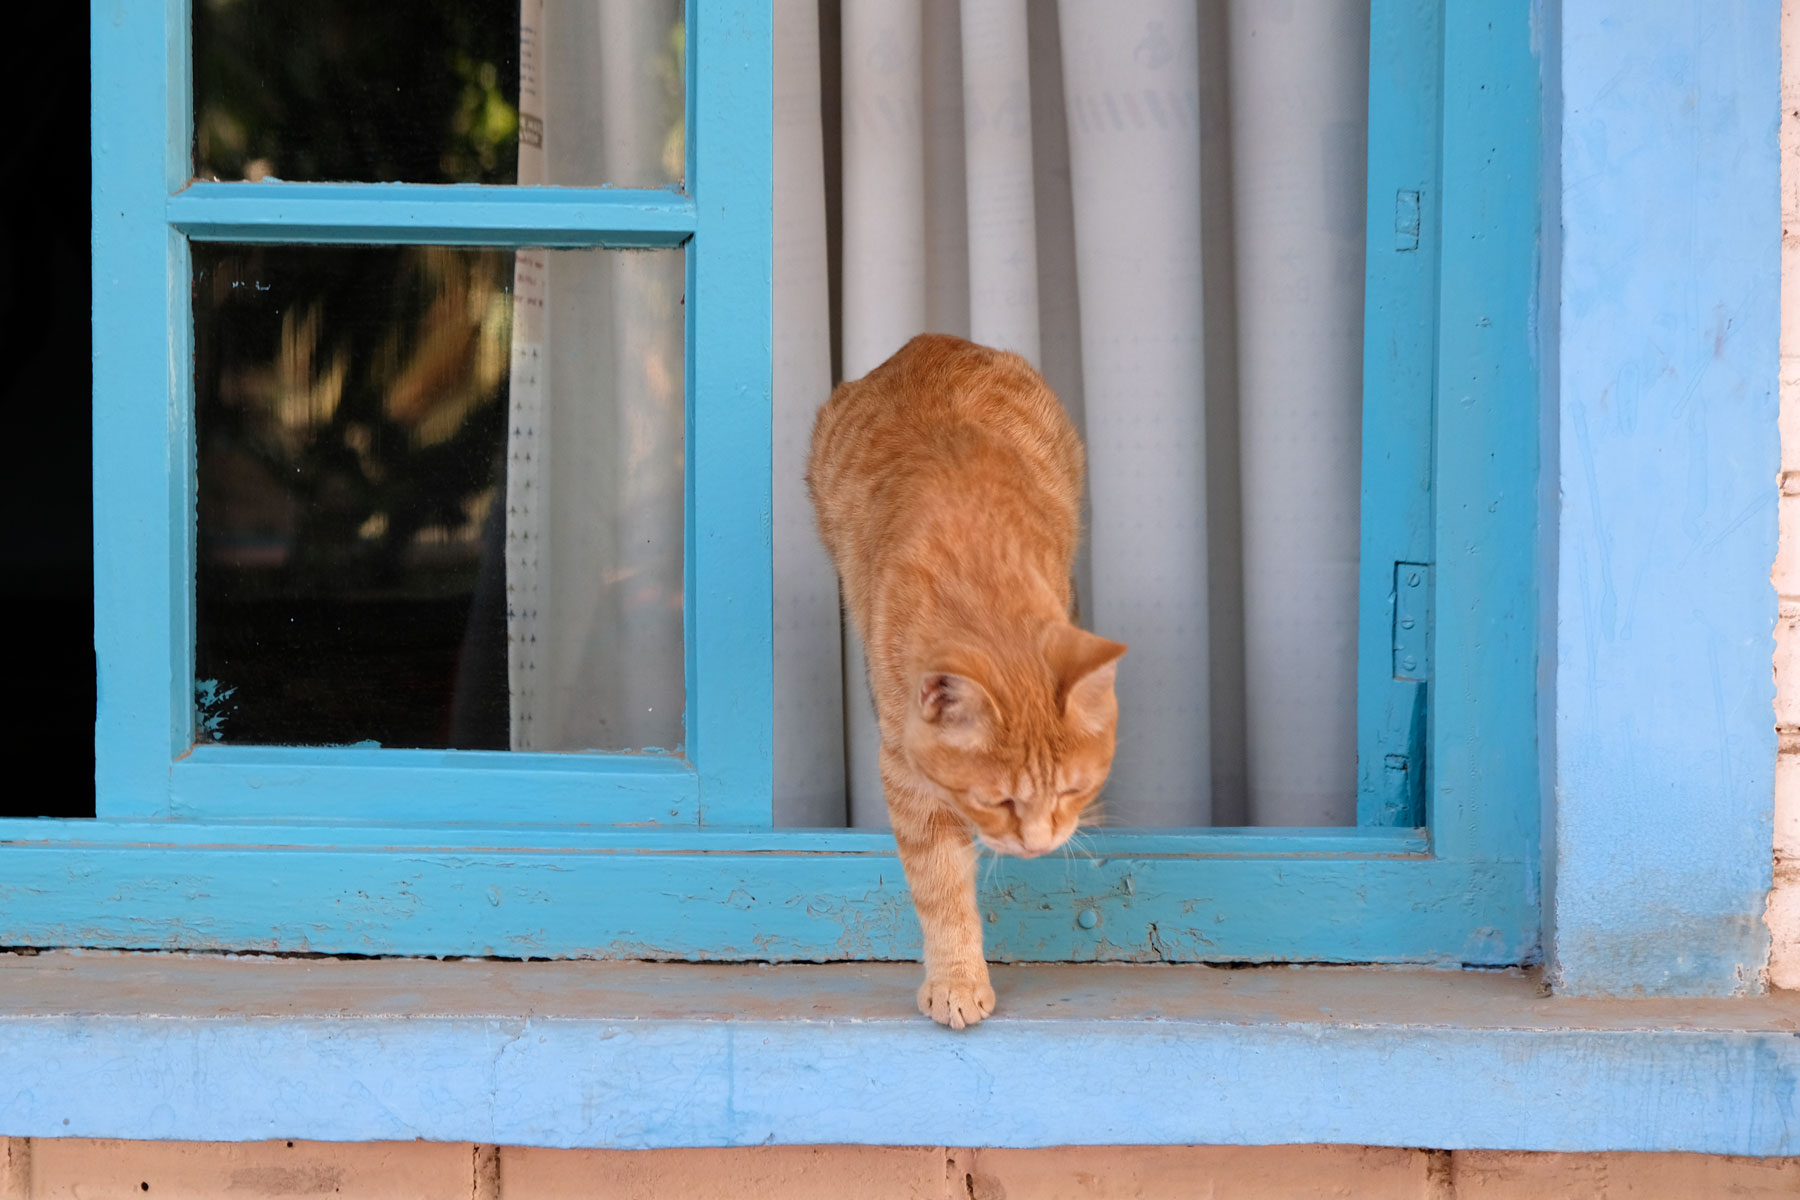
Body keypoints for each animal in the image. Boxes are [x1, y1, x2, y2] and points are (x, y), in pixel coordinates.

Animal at [813, 332, 1123, 1029]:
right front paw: (956, 980)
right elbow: (939, 884)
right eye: (996, 800)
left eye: (1074, 789)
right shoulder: (907, 772)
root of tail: (926, 340)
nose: (1039, 845)